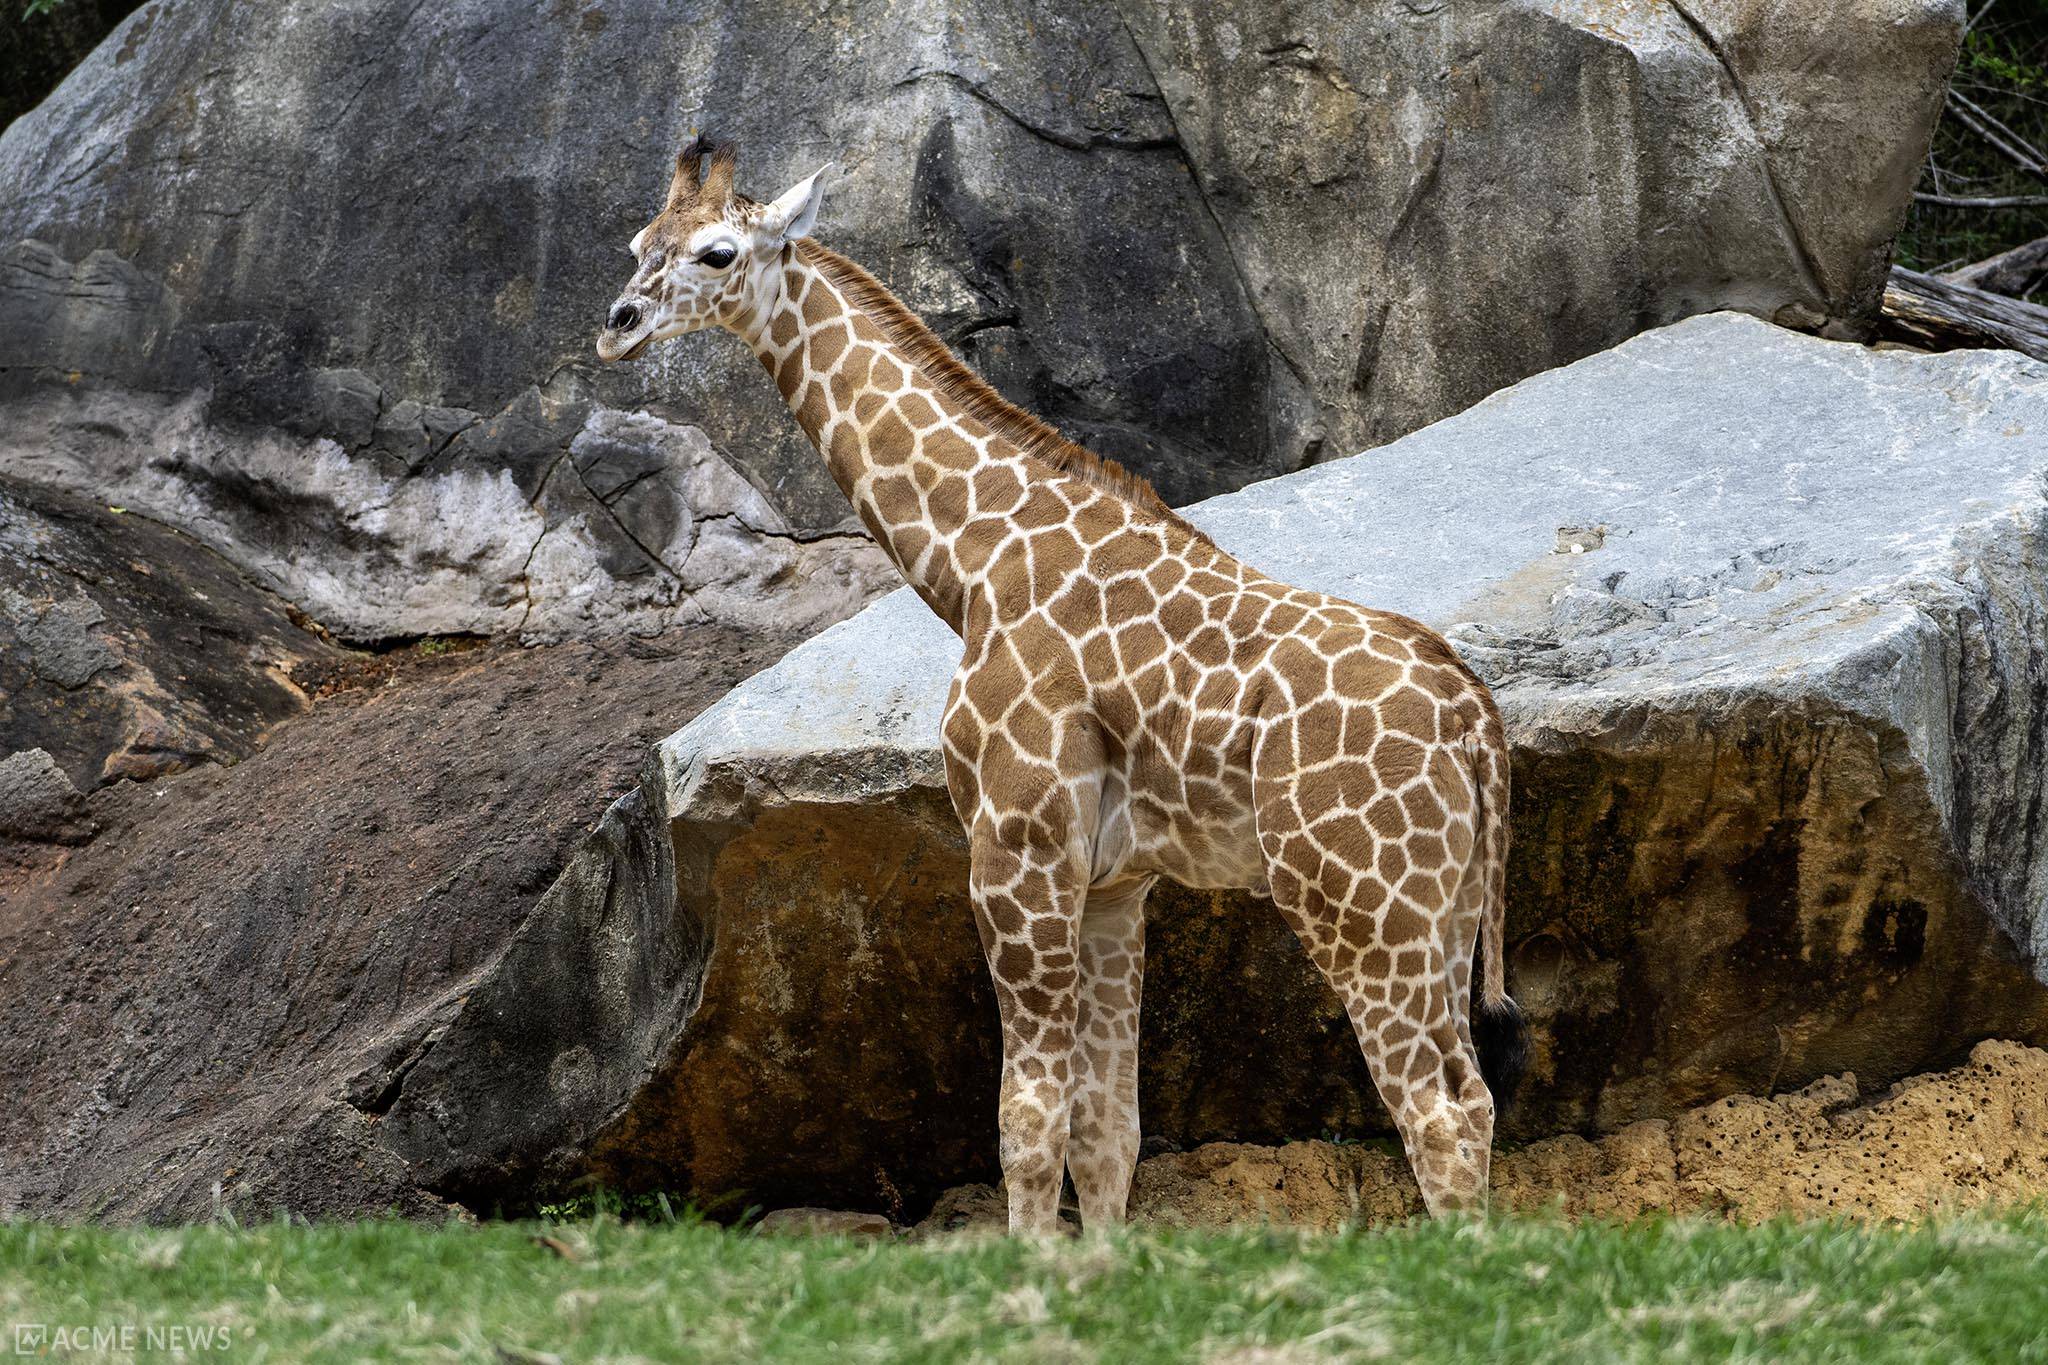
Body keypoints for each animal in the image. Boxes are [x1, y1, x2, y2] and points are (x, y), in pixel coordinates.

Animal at [593, 133, 1523, 1236]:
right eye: (639, 242)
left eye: (719, 254)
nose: (617, 326)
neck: (976, 565)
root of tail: (1474, 717)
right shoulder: (1118, 880)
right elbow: (1108, 1128)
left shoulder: (1014, 841)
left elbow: (1026, 1118)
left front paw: (1029, 1268)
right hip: (1445, 906)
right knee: (1475, 1100)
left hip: (1359, 897)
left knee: (1434, 1113)